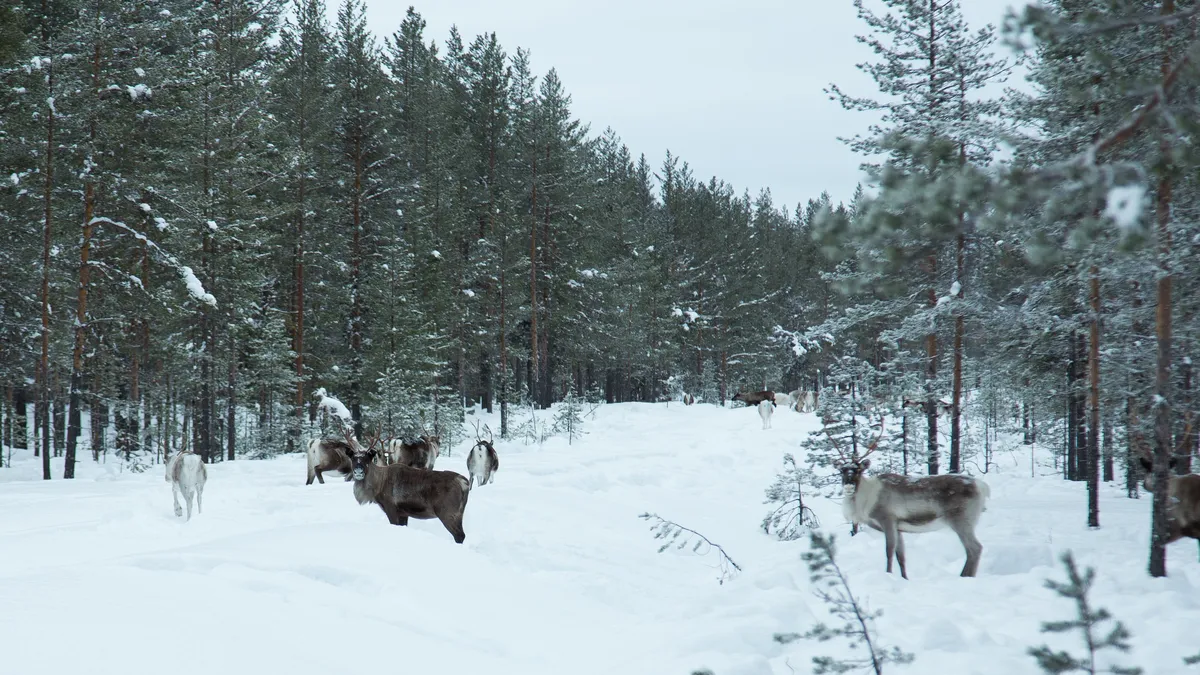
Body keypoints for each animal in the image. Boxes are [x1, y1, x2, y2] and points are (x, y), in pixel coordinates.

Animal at [343, 428, 471, 544]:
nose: (358, 472)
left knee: (459, 535)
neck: (378, 485)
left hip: (447, 512)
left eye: (366, 459)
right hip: (459, 513)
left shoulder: (391, 507)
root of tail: (463, 482)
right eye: (353, 459)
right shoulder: (403, 513)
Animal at [833, 418, 990, 579]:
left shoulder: (887, 519)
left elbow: (889, 552)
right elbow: (901, 556)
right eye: (842, 470)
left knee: (975, 548)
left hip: (962, 520)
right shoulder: (898, 527)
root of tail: (983, 487)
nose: (849, 485)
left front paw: (889, 574)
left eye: (858, 470)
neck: (865, 502)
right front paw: (904, 578)